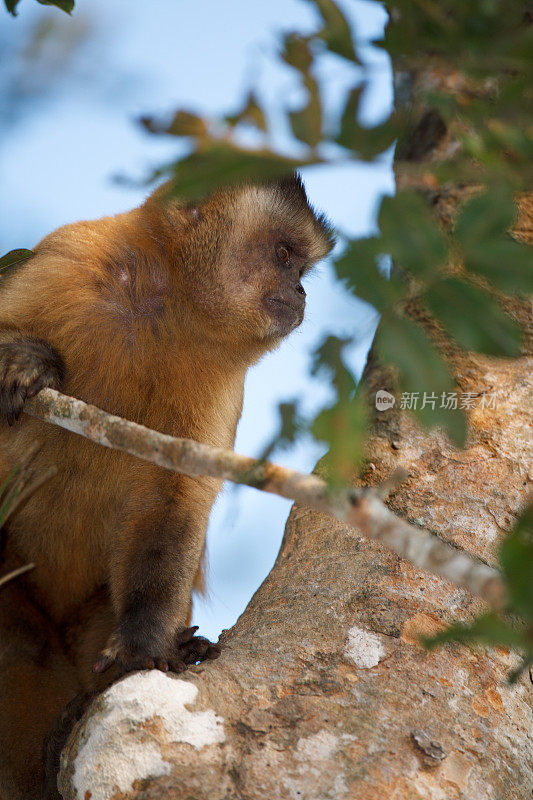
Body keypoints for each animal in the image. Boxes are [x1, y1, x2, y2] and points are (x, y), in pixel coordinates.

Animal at [0, 175, 332, 800]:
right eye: (283, 255)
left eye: (302, 266)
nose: (300, 290)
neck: (163, 307)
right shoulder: (66, 257)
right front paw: (21, 362)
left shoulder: (222, 379)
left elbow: (171, 502)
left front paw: (145, 647)